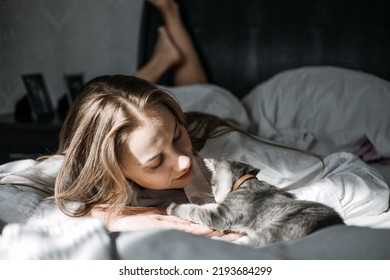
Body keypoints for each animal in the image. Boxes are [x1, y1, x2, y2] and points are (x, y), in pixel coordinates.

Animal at [168, 159, 344, 246]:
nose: (215, 196)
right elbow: (204, 207)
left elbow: (193, 210)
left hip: (282, 226)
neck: (246, 182)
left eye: (212, 183)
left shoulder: (219, 216)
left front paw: (173, 207)